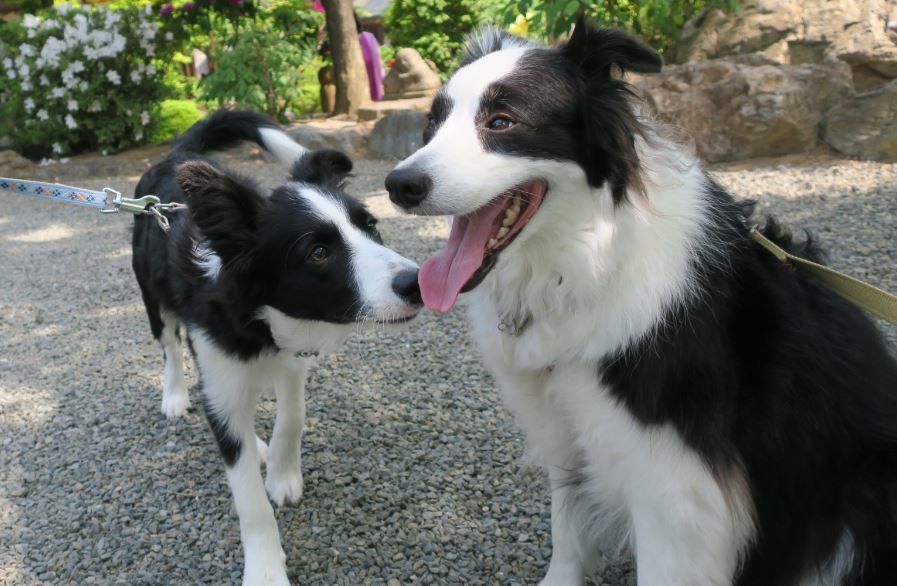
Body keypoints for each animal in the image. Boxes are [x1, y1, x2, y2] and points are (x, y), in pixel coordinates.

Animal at [133, 108, 424, 580]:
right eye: (318, 252)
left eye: (371, 226)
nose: (417, 284)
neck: (261, 320)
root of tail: (175, 154)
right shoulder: (219, 366)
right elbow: (248, 498)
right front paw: (266, 569)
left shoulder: (291, 357)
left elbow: (293, 416)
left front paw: (283, 476)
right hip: (153, 296)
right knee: (171, 346)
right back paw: (175, 396)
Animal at [384, 18, 896, 584]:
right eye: (431, 125)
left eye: (502, 121)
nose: (398, 184)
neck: (585, 261)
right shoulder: (565, 428)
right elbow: (567, 529)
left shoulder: (677, 486)